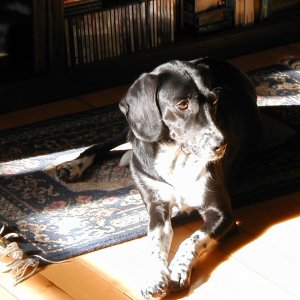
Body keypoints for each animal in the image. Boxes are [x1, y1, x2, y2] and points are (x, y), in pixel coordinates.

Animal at [55, 57, 262, 298]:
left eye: (215, 99)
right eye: (182, 104)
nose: (221, 145)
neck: (176, 156)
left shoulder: (221, 214)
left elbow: (191, 240)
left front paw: (178, 270)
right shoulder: (157, 208)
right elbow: (154, 246)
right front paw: (155, 277)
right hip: (132, 128)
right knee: (103, 145)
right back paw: (72, 166)